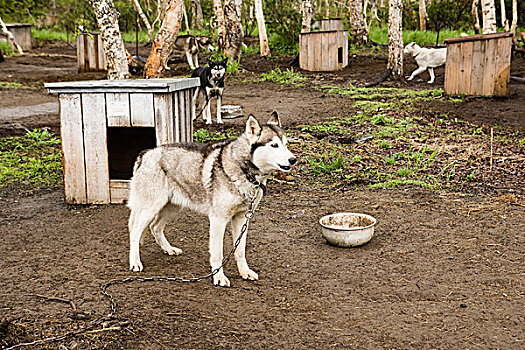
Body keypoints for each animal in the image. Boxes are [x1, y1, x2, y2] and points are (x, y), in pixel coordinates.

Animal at [127, 112, 294, 288]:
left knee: (155, 227)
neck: (245, 171)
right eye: (274, 145)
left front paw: (245, 272)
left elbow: (240, 251)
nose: (293, 159)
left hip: (171, 208)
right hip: (150, 209)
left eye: (285, 144)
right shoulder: (218, 220)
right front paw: (219, 277)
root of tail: (146, 153)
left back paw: (168, 249)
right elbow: (218, 253)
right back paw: (135, 262)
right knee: (134, 232)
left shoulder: (242, 219)